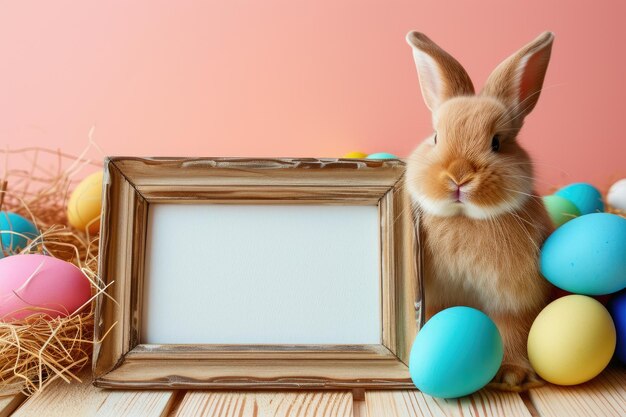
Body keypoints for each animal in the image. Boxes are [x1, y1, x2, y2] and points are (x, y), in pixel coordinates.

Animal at [404, 32, 556, 390]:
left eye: (497, 143)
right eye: (436, 137)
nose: (458, 177)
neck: (466, 219)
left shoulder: (514, 301)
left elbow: (512, 330)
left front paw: (513, 375)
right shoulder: (435, 298)